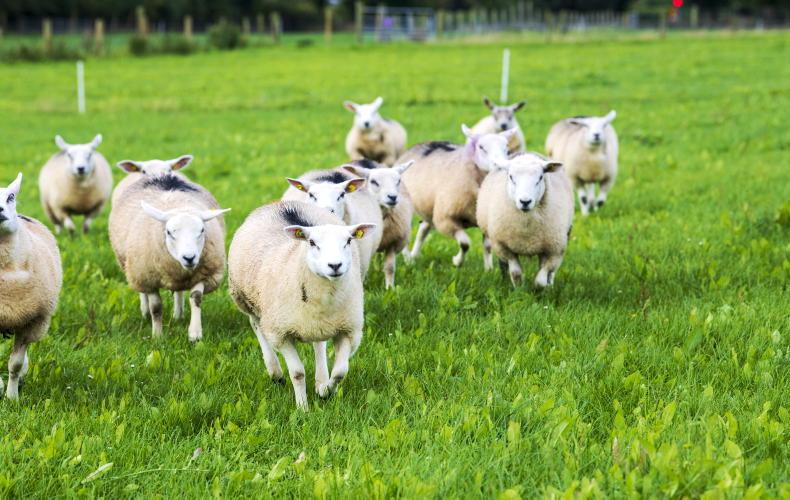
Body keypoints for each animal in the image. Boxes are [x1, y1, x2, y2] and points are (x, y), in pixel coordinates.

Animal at [108, 169, 229, 342]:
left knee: (178, 292)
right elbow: (156, 307)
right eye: (169, 232)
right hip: (135, 270)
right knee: (143, 292)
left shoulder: (205, 274)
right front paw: (157, 336)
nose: (189, 258)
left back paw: (178, 315)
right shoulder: (148, 277)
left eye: (202, 230)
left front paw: (195, 334)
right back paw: (145, 312)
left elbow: (196, 298)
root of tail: (161, 173)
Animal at [228, 200, 377, 411]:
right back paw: (275, 371)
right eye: (312, 243)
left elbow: (340, 372)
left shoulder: (349, 330)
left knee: (319, 344)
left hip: (316, 323)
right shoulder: (281, 333)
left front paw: (325, 391)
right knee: (258, 327)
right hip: (246, 300)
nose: (335, 265)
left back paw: (321, 380)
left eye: (348, 241)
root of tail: (281, 204)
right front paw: (302, 408)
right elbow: (297, 373)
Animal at [342, 159, 414, 289]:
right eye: (374, 182)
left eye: (398, 181)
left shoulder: (392, 242)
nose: (392, 197)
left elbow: (390, 268)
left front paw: (390, 288)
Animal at [396, 125, 515, 267]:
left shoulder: (485, 222)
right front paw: (457, 262)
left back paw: (414, 255)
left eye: (506, 147)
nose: (500, 164)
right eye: (481, 147)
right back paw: (408, 259)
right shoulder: (445, 220)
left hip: (430, 208)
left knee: (423, 229)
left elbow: (487, 246)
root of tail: (424, 143)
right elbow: (465, 244)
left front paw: (489, 269)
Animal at [476, 153, 574, 289]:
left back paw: (550, 286)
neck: (526, 231)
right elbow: (516, 274)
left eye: (540, 177)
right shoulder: (504, 247)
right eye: (511, 177)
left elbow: (541, 280)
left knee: (551, 272)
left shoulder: (554, 250)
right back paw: (504, 280)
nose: (525, 201)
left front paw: (539, 290)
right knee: (503, 265)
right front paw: (519, 290)